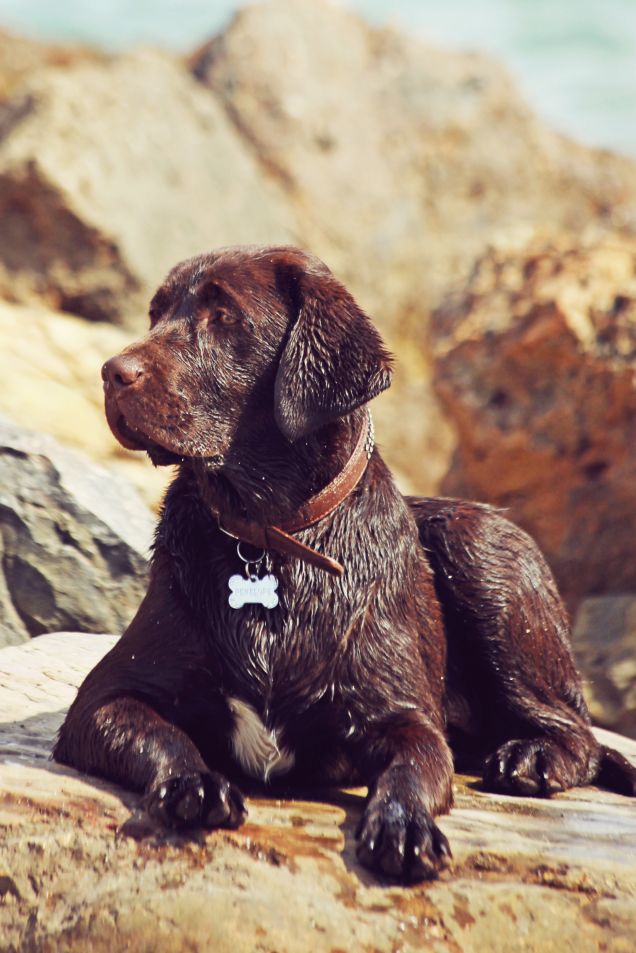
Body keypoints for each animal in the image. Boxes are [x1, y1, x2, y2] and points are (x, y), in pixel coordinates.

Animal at [56, 247, 636, 884]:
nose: (112, 372)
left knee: (575, 729)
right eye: (155, 314)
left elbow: (410, 773)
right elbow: (164, 737)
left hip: (479, 544)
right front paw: (195, 784)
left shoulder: (407, 719)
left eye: (223, 316)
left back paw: (532, 755)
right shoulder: (105, 699)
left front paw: (405, 828)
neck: (271, 535)